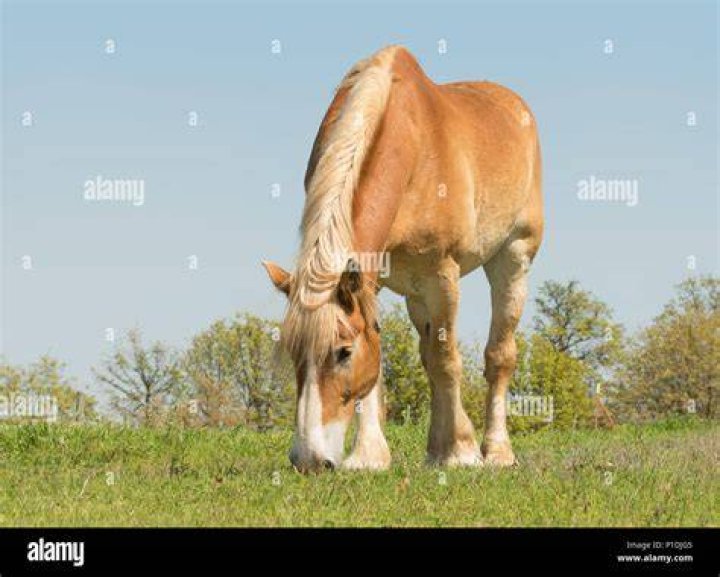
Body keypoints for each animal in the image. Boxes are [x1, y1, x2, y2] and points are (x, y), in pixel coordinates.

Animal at [263, 45, 543, 473]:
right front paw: (369, 455)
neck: (413, 148)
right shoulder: (371, 278)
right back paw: (437, 448)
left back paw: (495, 451)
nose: (309, 460)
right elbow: (388, 366)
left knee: (498, 355)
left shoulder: (442, 275)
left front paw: (461, 451)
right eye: (293, 352)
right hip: (415, 293)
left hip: (512, 257)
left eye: (343, 353)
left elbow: (447, 360)